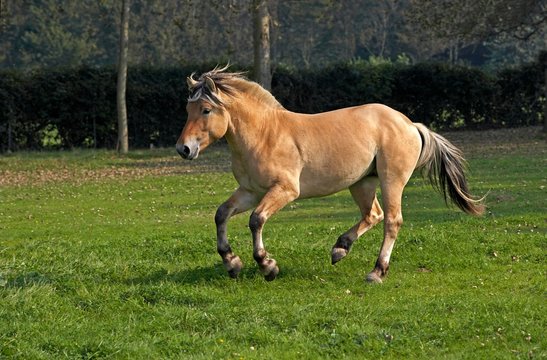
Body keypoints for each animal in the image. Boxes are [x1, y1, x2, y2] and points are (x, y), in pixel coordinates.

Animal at [176, 66, 484, 282]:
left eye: (206, 110)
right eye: (188, 109)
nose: (184, 149)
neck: (264, 134)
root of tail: (410, 124)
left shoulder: (285, 191)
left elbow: (256, 220)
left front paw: (267, 266)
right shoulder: (251, 191)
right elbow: (221, 214)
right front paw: (232, 263)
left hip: (391, 180)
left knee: (392, 221)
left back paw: (376, 272)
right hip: (361, 183)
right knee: (373, 214)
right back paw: (340, 249)